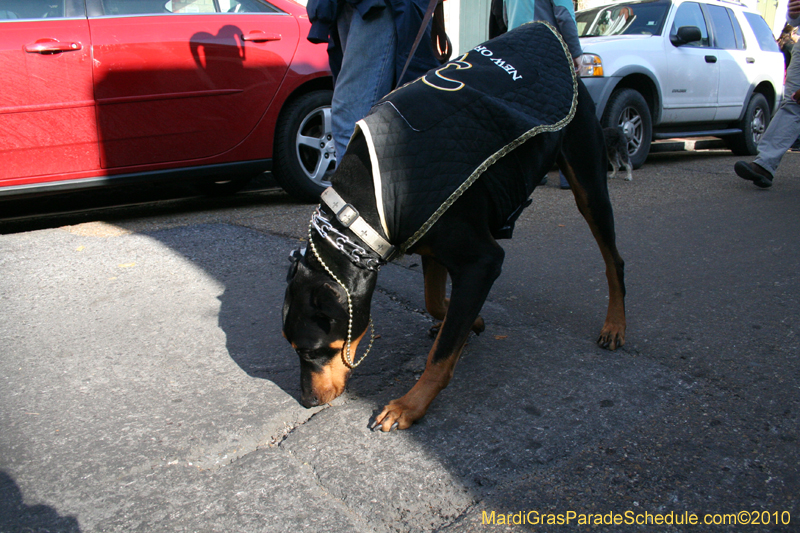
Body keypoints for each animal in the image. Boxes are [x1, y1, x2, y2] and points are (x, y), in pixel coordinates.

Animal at [282, 80, 624, 432]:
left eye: (310, 351)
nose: (307, 401)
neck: (361, 213)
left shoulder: (482, 262)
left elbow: (441, 354)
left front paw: (409, 405)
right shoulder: (428, 241)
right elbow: (434, 301)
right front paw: (468, 320)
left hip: (588, 182)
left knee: (614, 261)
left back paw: (614, 326)